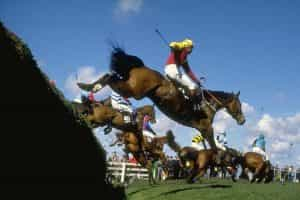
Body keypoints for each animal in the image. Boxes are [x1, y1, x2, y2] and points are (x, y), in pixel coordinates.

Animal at [77, 47, 246, 150]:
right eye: (239, 105)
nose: (243, 120)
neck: (208, 104)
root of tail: (142, 67)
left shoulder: (201, 129)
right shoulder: (206, 127)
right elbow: (214, 148)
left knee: (110, 76)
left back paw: (86, 89)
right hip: (136, 92)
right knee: (110, 78)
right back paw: (88, 89)